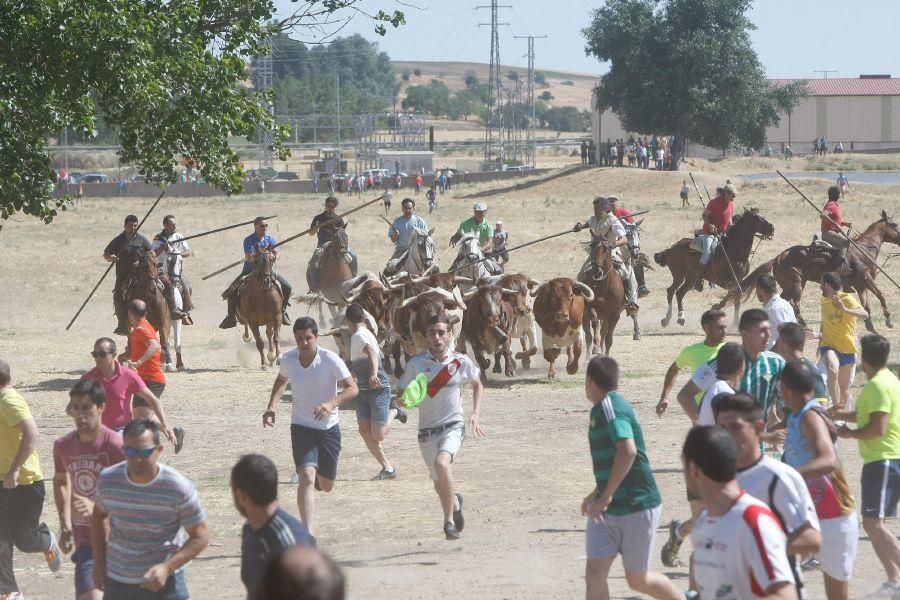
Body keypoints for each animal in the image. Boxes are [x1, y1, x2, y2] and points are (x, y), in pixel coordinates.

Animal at [740, 211, 900, 330]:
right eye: (894, 224)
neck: (863, 250)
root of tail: (778, 258)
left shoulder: (861, 284)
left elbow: (865, 304)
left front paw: (869, 324)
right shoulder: (866, 278)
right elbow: (880, 295)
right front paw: (888, 319)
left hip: (790, 286)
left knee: (783, 300)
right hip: (797, 284)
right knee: (795, 303)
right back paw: (804, 326)